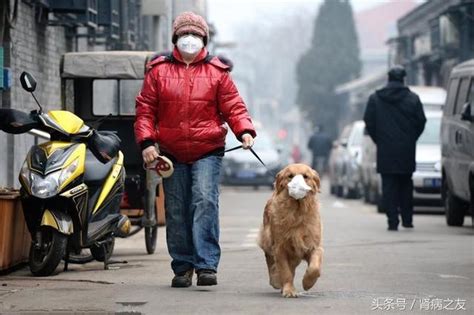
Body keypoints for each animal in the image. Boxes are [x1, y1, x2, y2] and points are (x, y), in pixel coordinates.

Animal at [258, 164, 324, 300]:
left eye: (306, 176)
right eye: (290, 176)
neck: (297, 212)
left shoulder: (314, 245)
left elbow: (314, 267)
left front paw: (307, 283)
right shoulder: (280, 247)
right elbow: (285, 270)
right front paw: (288, 290)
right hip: (268, 239)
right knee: (270, 261)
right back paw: (276, 281)